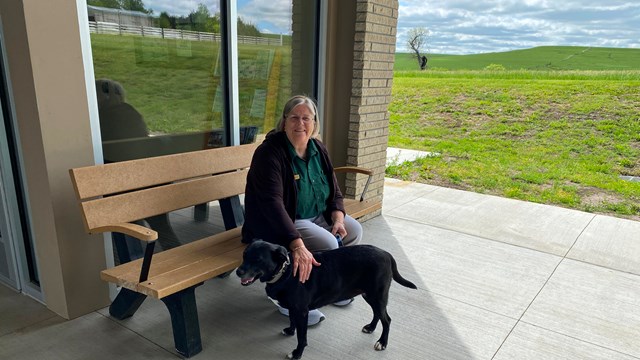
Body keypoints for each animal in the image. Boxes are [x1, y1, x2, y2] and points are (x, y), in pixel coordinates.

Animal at [235, 239, 416, 360]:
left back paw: (382, 342)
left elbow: (302, 337)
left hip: (377, 295)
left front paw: (297, 353)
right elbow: (292, 322)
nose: (238, 272)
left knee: (387, 319)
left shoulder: (301, 311)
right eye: (244, 255)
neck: (285, 272)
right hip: (369, 295)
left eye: (258, 259)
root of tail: (386, 254)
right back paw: (371, 327)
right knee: (378, 314)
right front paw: (290, 330)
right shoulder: (293, 309)